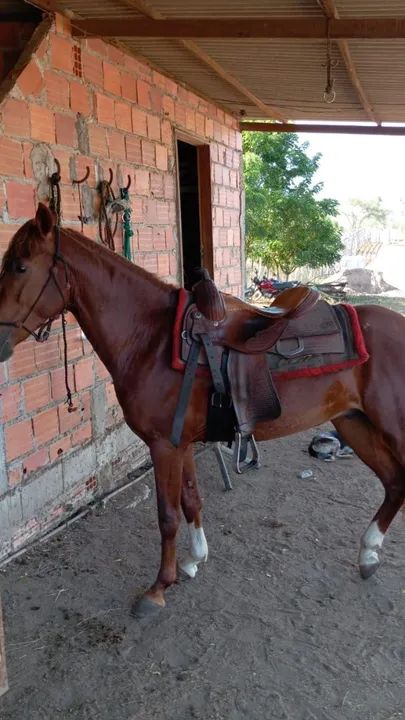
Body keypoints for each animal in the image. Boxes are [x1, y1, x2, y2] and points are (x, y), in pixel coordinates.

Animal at [1, 203, 404, 617]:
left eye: (19, 266)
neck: (150, 340)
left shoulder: (163, 445)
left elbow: (167, 516)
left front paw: (159, 587)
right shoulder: (181, 443)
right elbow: (191, 499)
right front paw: (194, 560)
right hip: (354, 424)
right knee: (394, 483)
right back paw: (368, 555)